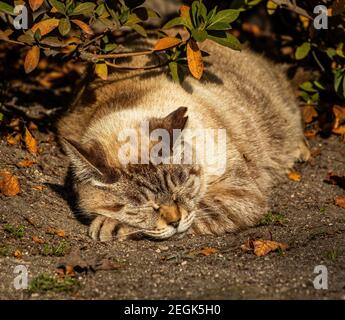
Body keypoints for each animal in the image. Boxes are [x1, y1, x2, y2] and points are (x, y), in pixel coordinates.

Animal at [57, 39, 310, 240]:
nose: (175, 221)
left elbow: (200, 209)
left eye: (179, 191)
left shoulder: (241, 193)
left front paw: (113, 225)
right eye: (144, 206)